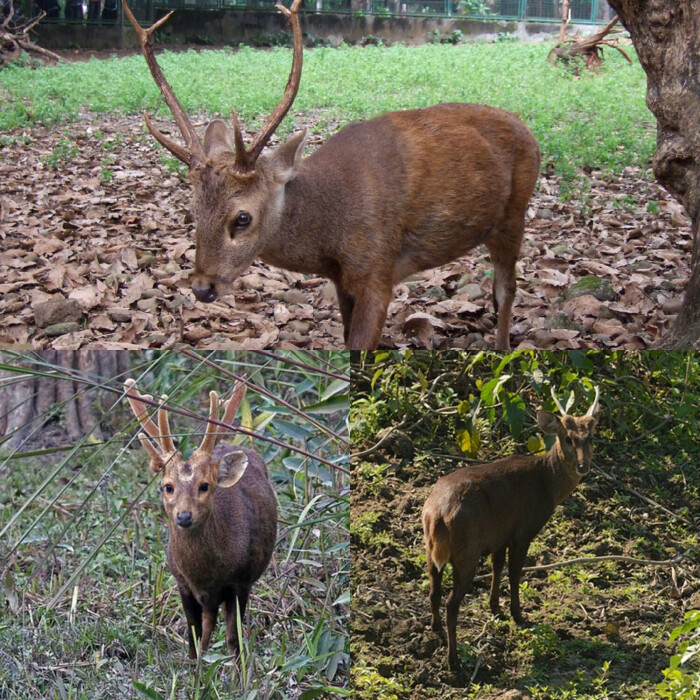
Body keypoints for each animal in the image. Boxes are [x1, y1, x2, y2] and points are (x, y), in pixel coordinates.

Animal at [121, 0, 540, 350]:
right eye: (192, 211)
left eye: (242, 218)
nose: (202, 287)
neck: (331, 233)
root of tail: (531, 134)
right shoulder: (342, 281)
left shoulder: (378, 270)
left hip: (514, 215)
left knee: (508, 288)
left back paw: (503, 349)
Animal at [124, 378, 278, 656]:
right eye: (168, 486)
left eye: (204, 486)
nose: (184, 516)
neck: (206, 574)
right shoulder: (182, 582)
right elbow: (193, 636)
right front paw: (193, 666)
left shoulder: (240, 581)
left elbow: (233, 640)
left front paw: (237, 667)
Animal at [422, 386, 600, 668]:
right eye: (568, 439)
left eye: (590, 437)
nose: (584, 466)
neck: (547, 484)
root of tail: (437, 514)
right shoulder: (523, 530)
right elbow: (515, 573)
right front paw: (518, 615)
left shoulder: (500, 535)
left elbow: (498, 567)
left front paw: (495, 607)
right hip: (467, 551)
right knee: (452, 602)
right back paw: (454, 660)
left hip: (431, 549)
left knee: (433, 591)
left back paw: (435, 627)